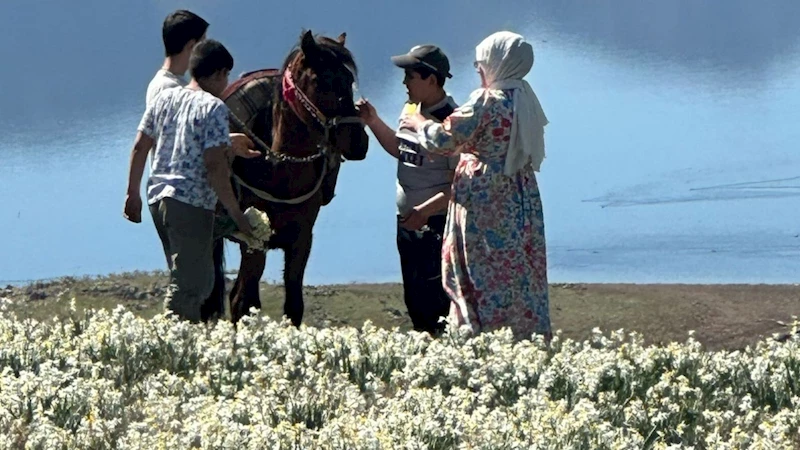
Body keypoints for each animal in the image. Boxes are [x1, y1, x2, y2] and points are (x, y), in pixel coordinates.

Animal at [205, 31, 370, 326]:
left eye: (349, 80)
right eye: (321, 81)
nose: (358, 143)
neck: (280, 171)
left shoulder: (301, 240)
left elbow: (294, 306)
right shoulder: (254, 241)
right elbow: (241, 302)